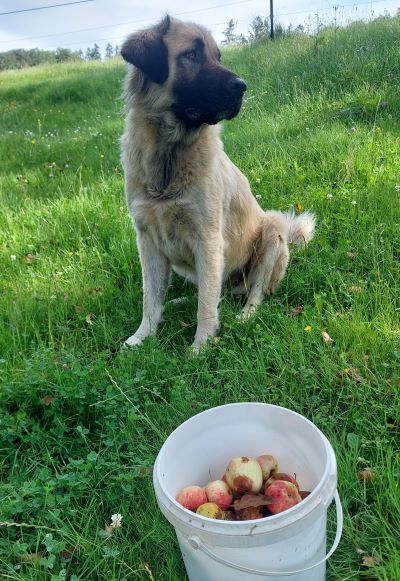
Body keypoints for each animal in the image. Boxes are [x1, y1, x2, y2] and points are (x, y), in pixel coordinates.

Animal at [120, 14, 314, 348]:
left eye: (217, 56)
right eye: (191, 54)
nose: (242, 87)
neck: (168, 161)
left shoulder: (208, 239)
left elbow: (207, 305)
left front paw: (200, 346)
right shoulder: (148, 240)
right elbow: (151, 297)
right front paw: (143, 336)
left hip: (272, 231)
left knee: (254, 293)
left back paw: (245, 315)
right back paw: (178, 302)